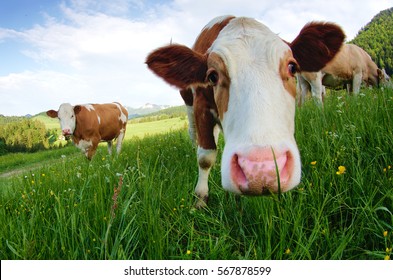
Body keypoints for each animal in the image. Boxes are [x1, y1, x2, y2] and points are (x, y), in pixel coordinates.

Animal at [145, 15, 344, 208]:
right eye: (212, 76)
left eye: (292, 67)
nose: (262, 170)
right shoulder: (201, 106)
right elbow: (205, 157)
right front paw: (200, 199)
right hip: (188, 103)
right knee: (194, 134)